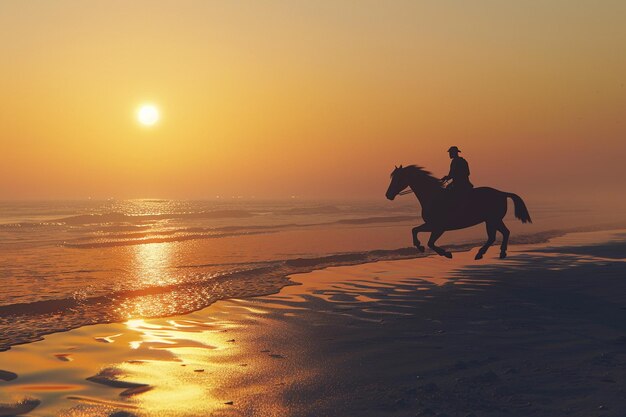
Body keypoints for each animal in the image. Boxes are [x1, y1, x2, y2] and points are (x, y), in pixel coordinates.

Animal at [382, 164, 528, 258]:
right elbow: (415, 230)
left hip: (492, 220)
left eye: (397, 178)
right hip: (494, 220)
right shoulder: (432, 225)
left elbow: (430, 242)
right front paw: (420, 246)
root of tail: (502, 193)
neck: (433, 196)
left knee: (493, 237)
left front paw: (446, 253)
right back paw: (500, 253)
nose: (388, 195)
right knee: (504, 233)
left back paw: (480, 253)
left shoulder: (438, 227)